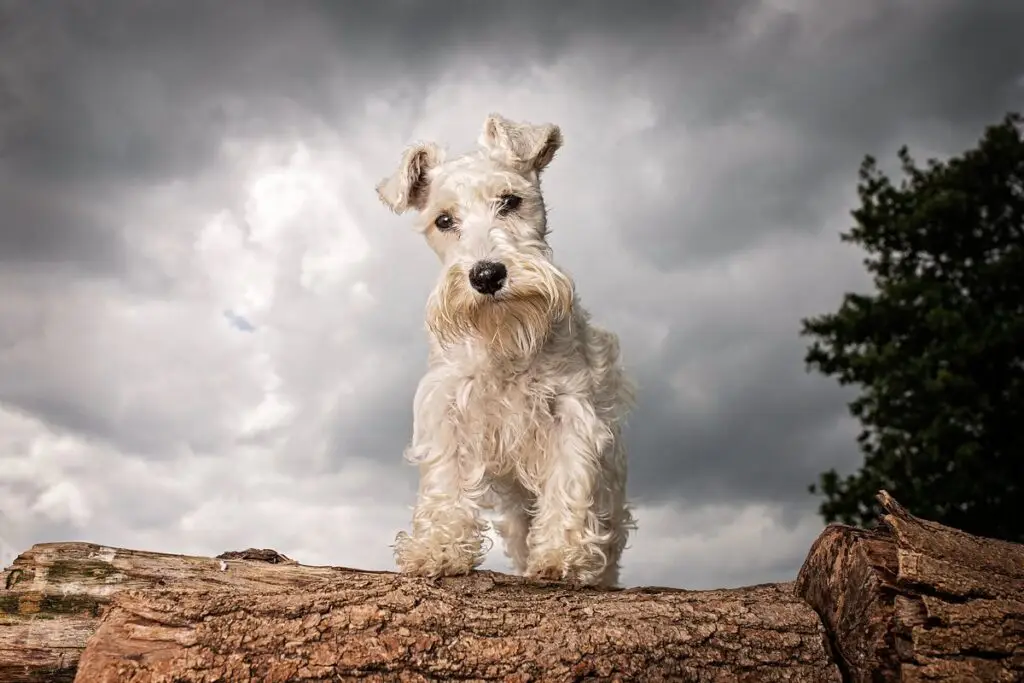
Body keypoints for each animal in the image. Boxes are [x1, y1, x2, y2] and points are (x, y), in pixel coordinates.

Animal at [374, 112, 630, 589]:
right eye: (443, 220)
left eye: (510, 201)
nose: (487, 275)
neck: (506, 337)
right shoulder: (448, 408)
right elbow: (445, 483)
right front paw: (438, 549)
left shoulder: (571, 412)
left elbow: (569, 483)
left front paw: (563, 556)